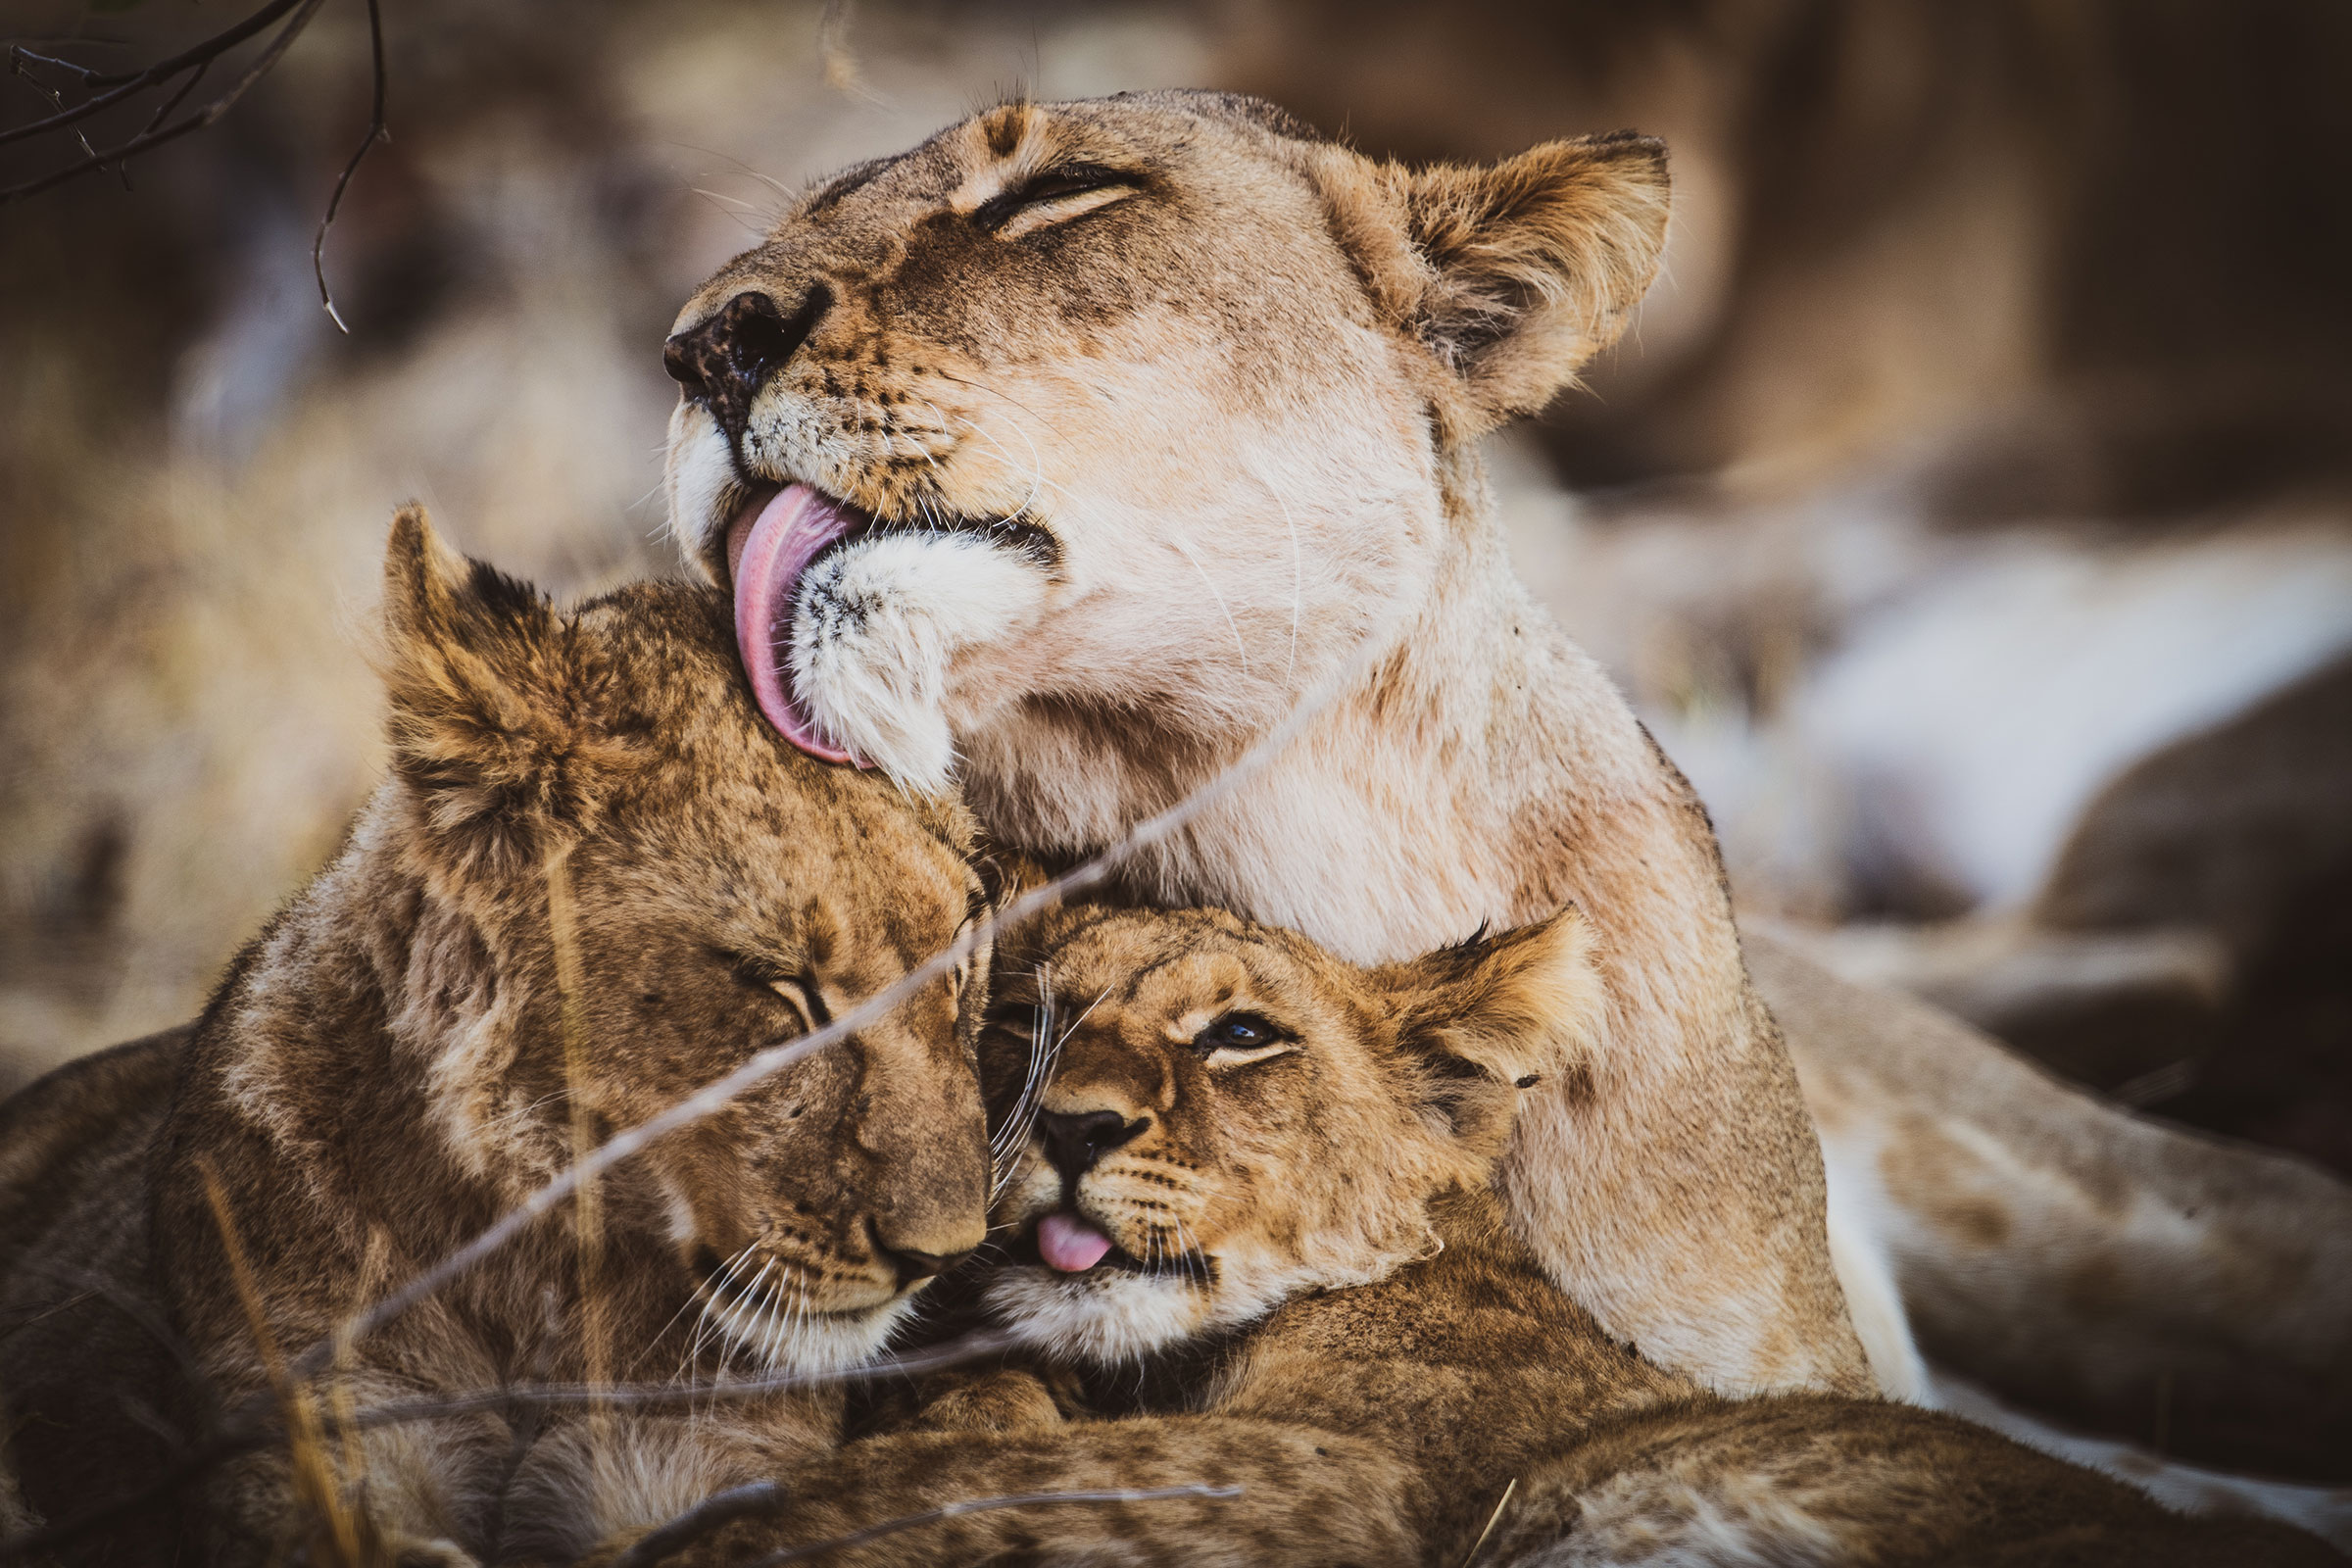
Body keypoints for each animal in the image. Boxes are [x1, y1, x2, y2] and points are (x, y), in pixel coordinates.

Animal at [0, 513, 994, 1565]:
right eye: (782, 984)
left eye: (965, 945)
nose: (942, 1257)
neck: (542, 1279)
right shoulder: (312, 1428)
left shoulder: (704, 1455)